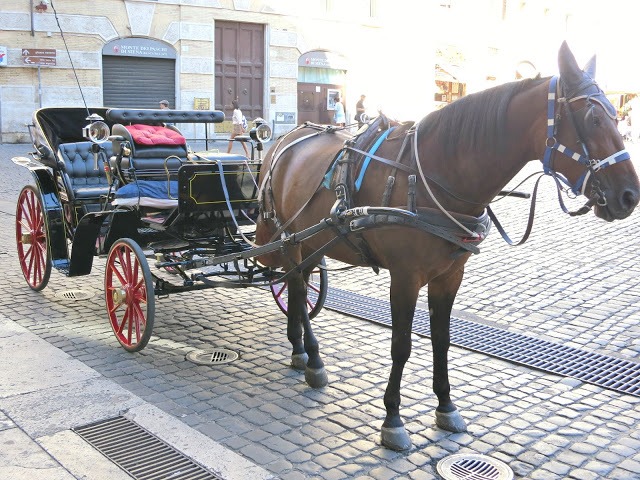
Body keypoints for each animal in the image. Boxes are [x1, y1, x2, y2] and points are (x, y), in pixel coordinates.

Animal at [254, 41, 636, 450]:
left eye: (617, 116)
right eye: (593, 119)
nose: (630, 195)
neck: (431, 177)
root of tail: (284, 139)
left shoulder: (450, 277)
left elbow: (442, 340)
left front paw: (446, 405)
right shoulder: (405, 278)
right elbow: (402, 346)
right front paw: (393, 419)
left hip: (314, 241)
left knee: (297, 286)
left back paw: (300, 350)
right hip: (291, 239)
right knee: (296, 286)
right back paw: (311, 358)